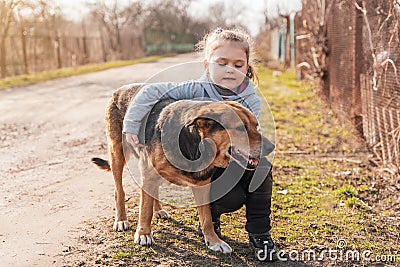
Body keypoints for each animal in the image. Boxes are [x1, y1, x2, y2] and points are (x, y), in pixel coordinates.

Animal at [92, 83, 276, 253]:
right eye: (240, 128)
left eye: (256, 126)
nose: (271, 147)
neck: (194, 144)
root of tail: (120, 89)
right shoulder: (149, 172)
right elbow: (144, 210)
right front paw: (143, 234)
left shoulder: (202, 185)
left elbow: (206, 218)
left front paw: (213, 241)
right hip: (117, 154)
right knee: (119, 191)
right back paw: (121, 220)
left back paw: (158, 210)